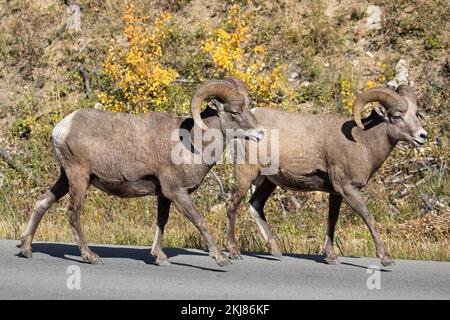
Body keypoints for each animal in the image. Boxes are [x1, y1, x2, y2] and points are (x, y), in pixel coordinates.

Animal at [20, 77, 264, 264]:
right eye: (234, 112)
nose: (260, 133)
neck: (192, 143)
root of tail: (61, 128)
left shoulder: (164, 195)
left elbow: (161, 222)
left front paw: (159, 257)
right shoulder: (177, 192)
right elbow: (199, 220)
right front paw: (221, 259)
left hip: (65, 178)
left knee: (42, 203)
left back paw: (26, 249)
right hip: (79, 178)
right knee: (72, 213)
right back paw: (91, 256)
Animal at [227, 84, 428, 264]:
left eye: (416, 114)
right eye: (397, 116)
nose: (422, 135)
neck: (363, 142)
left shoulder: (336, 193)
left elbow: (332, 220)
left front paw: (331, 257)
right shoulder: (348, 189)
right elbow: (368, 217)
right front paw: (385, 258)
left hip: (269, 182)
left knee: (255, 206)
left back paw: (276, 251)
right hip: (246, 173)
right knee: (232, 205)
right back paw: (234, 252)